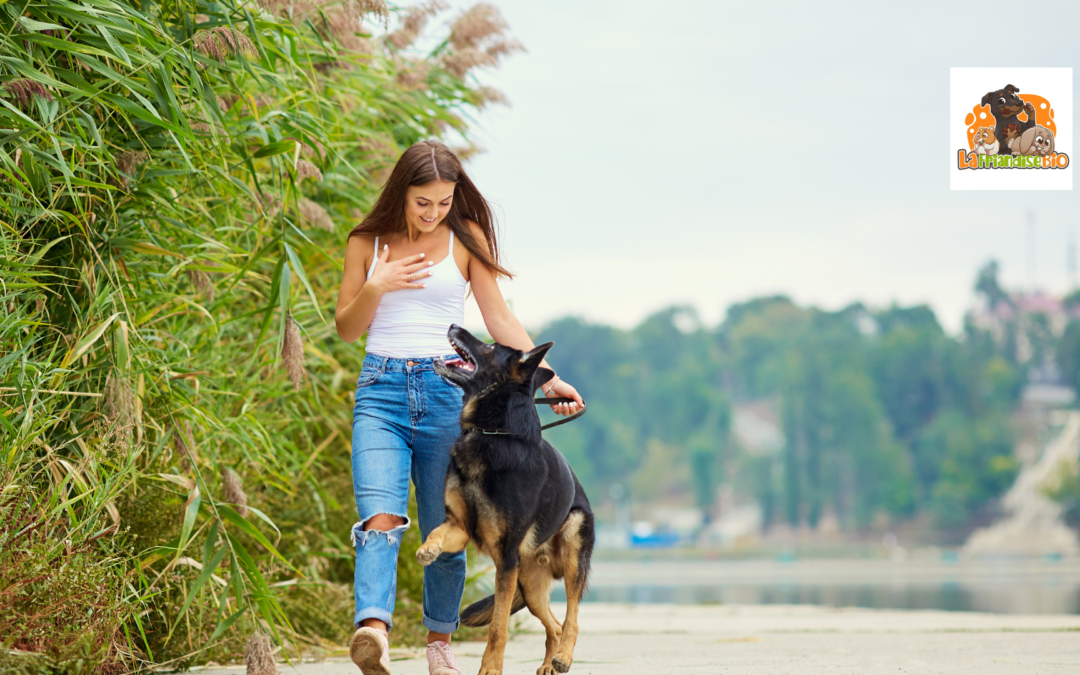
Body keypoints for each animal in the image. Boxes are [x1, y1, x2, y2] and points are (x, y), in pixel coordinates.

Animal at [421, 326, 596, 673]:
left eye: (490, 347)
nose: (453, 326)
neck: (491, 433)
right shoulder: (459, 528)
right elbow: (436, 532)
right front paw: (427, 550)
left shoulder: (505, 559)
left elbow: (498, 626)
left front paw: (490, 668)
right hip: (528, 586)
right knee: (554, 624)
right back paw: (548, 663)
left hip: (569, 551)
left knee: (571, 618)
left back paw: (564, 657)